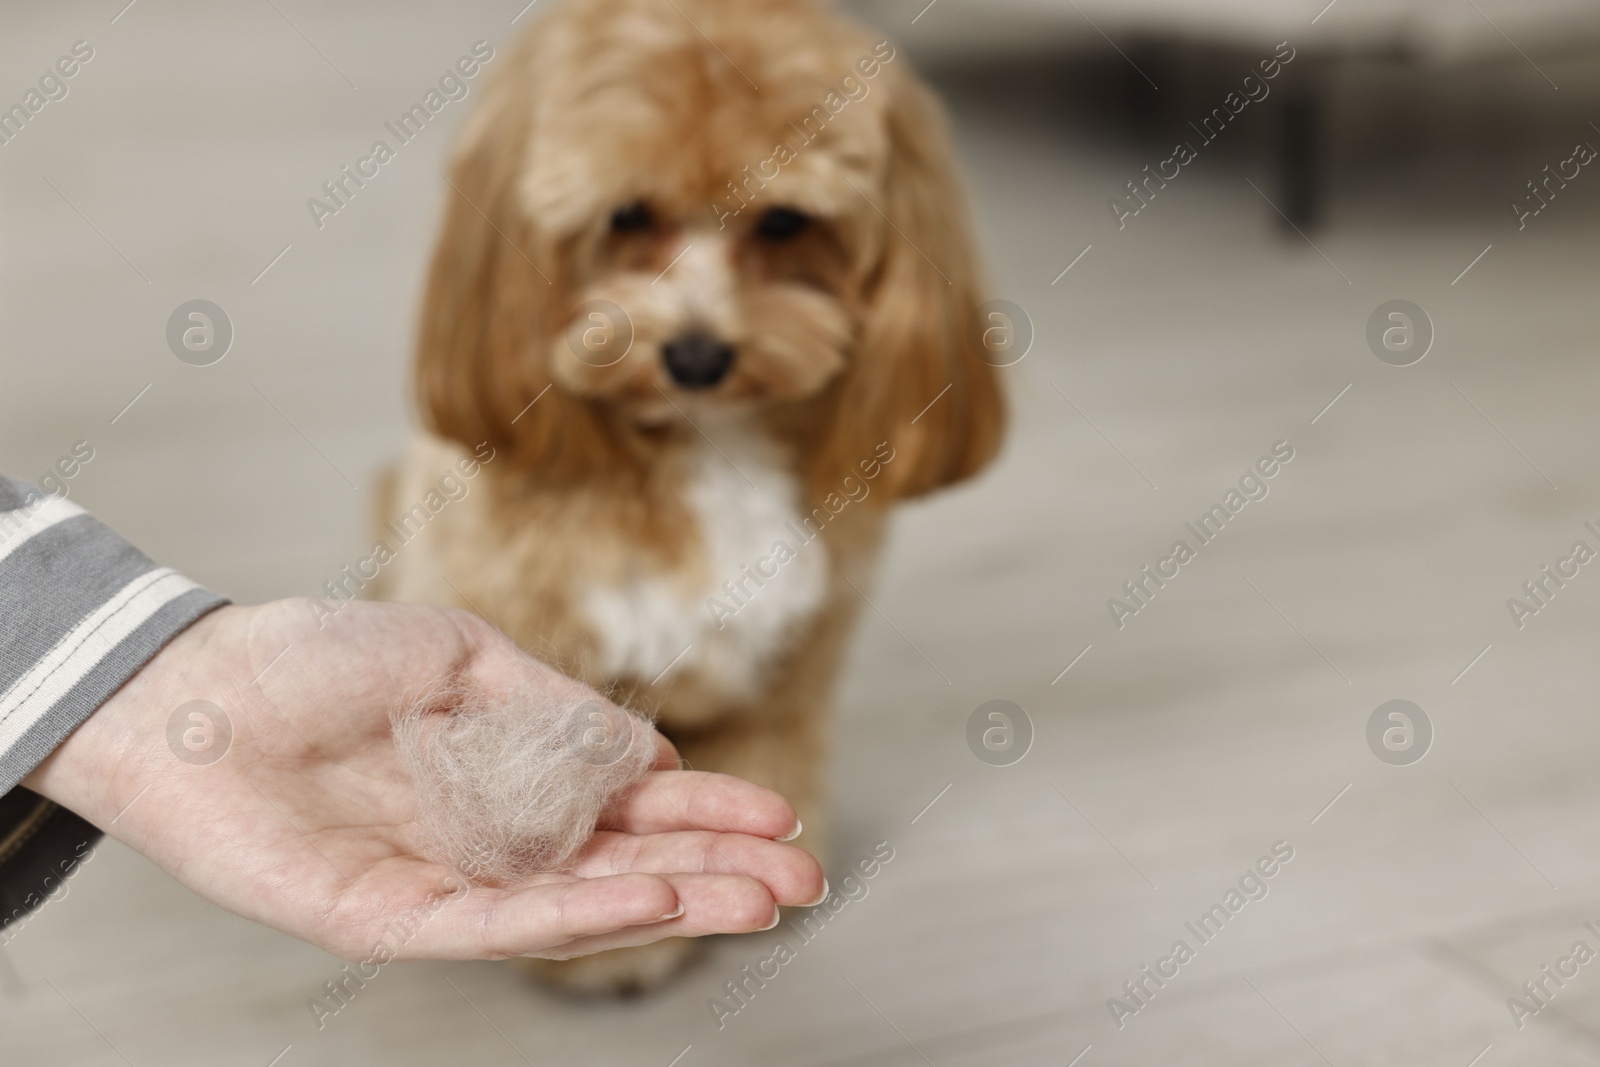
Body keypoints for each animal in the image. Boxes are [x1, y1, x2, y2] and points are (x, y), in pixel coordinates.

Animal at [374, 0, 998, 991]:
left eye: (784, 222)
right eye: (628, 213)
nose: (697, 356)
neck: (711, 451)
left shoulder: (798, 655)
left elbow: (773, 753)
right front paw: (615, 955)